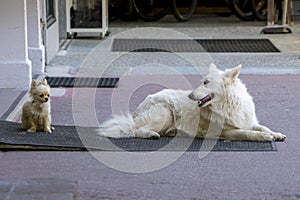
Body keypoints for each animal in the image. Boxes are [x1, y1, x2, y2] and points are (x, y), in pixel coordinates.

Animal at [98, 65, 286, 141]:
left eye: (206, 83)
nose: (189, 95)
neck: (229, 105)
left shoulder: (249, 121)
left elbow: (262, 127)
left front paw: (275, 134)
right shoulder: (226, 132)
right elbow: (246, 133)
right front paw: (263, 137)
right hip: (165, 113)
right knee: (137, 130)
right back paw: (151, 134)